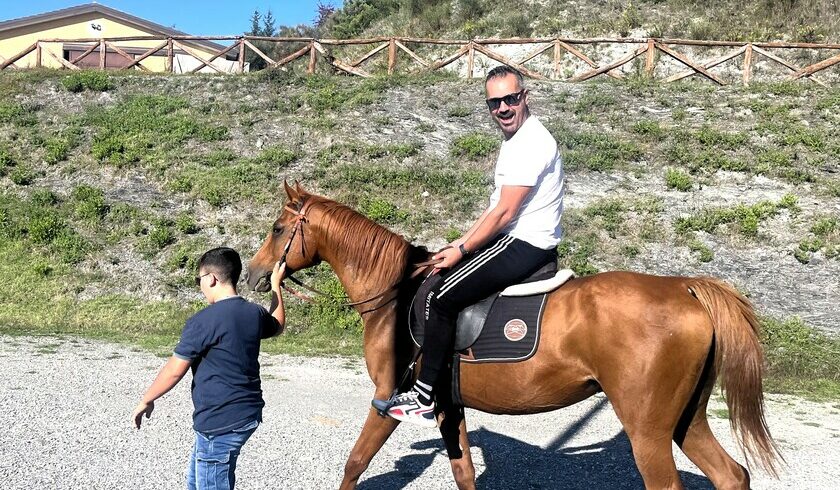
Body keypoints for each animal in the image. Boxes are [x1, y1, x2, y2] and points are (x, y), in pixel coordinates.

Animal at [248, 184, 780, 490]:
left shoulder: (386, 398)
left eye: (277, 228)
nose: (254, 275)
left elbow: (355, 463)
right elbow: (463, 471)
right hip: (685, 419)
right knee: (731, 476)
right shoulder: (449, 404)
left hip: (648, 430)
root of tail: (683, 288)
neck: (396, 294)